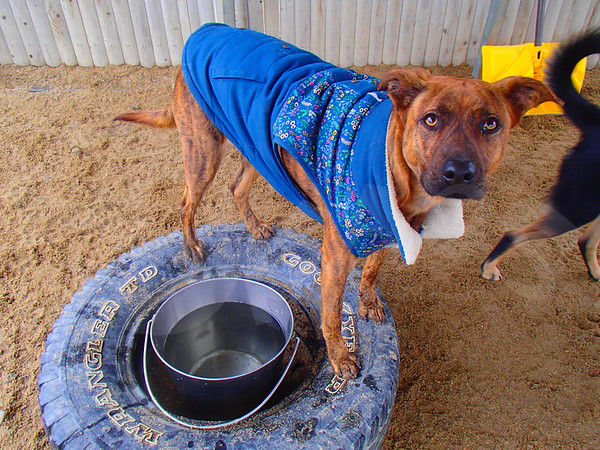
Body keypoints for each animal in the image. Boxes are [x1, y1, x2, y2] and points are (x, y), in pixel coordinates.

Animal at [113, 65, 556, 378]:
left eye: (490, 124)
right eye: (430, 119)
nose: (459, 173)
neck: (398, 173)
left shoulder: (388, 230)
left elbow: (373, 269)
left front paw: (369, 301)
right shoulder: (336, 256)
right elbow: (329, 316)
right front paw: (340, 358)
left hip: (256, 147)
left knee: (237, 187)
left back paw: (254, 227)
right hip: (203, 151)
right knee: (187, 200)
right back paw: (190, 244)